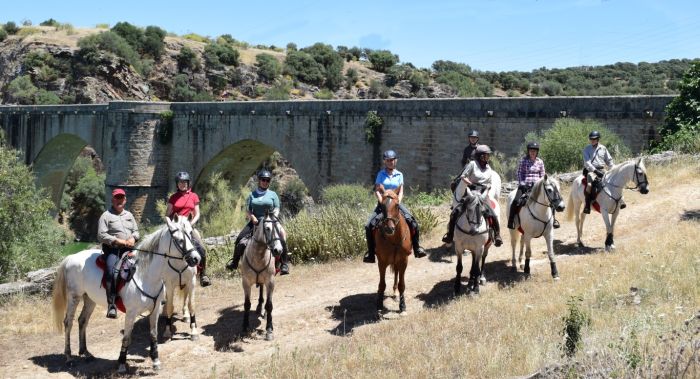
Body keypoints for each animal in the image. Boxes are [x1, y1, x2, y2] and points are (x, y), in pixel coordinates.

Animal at [52, 217, 197, 374]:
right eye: (179, 240)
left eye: (190, 234)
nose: (196, 258)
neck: (144, 276)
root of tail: (70, 258)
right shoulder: (131, 313)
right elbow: (126, 338)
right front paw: (121, 364)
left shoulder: (155, 310)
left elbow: (153, 335)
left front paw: (156, 361)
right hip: (74, 297)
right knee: (68, 322)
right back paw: (69, 357)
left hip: (89, 299)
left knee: (82, 321)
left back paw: (86, 353)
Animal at [241, 214, 284, 342]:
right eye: (267, 228)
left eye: (279, 228)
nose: (278, 250)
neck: (258, 255)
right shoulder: (245, 282)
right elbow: (247, 304)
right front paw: (245, 327)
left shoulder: (270, 281)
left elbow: (269, 305)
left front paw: (269, 330)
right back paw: (259, 307)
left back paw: (263, 312)